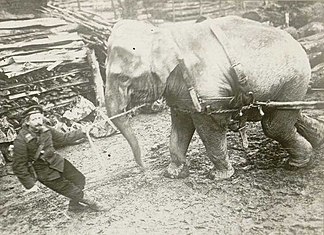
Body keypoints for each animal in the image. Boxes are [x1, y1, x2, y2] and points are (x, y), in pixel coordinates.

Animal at [104, 15, 324, 180]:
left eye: (123, 78)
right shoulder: (180, 92)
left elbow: (209, 128)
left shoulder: (209, 92)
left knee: (274, 125)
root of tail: (297, 41)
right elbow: (180, 124)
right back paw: (318, 142)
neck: (163, 32)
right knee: (290, 114)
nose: (143, 169)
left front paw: (219, 176)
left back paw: (297, 164)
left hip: (293, 77)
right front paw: (174, 174)